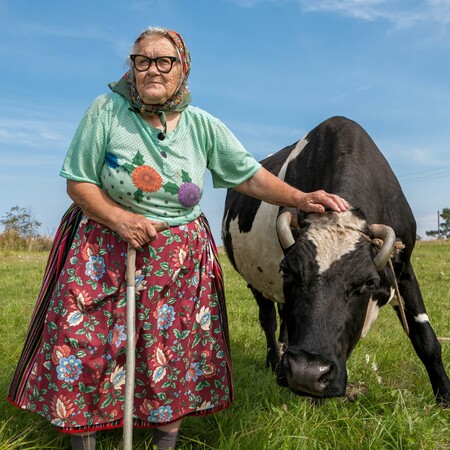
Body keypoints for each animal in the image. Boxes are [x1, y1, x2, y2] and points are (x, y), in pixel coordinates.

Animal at [221, 116, 450, 404]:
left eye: (368, 283)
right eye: (288, 271)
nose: (307, 372)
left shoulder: (404, 268)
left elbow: (426, 338)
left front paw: (444, 398)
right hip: (254, 279)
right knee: (268, 318)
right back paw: (274, 360)